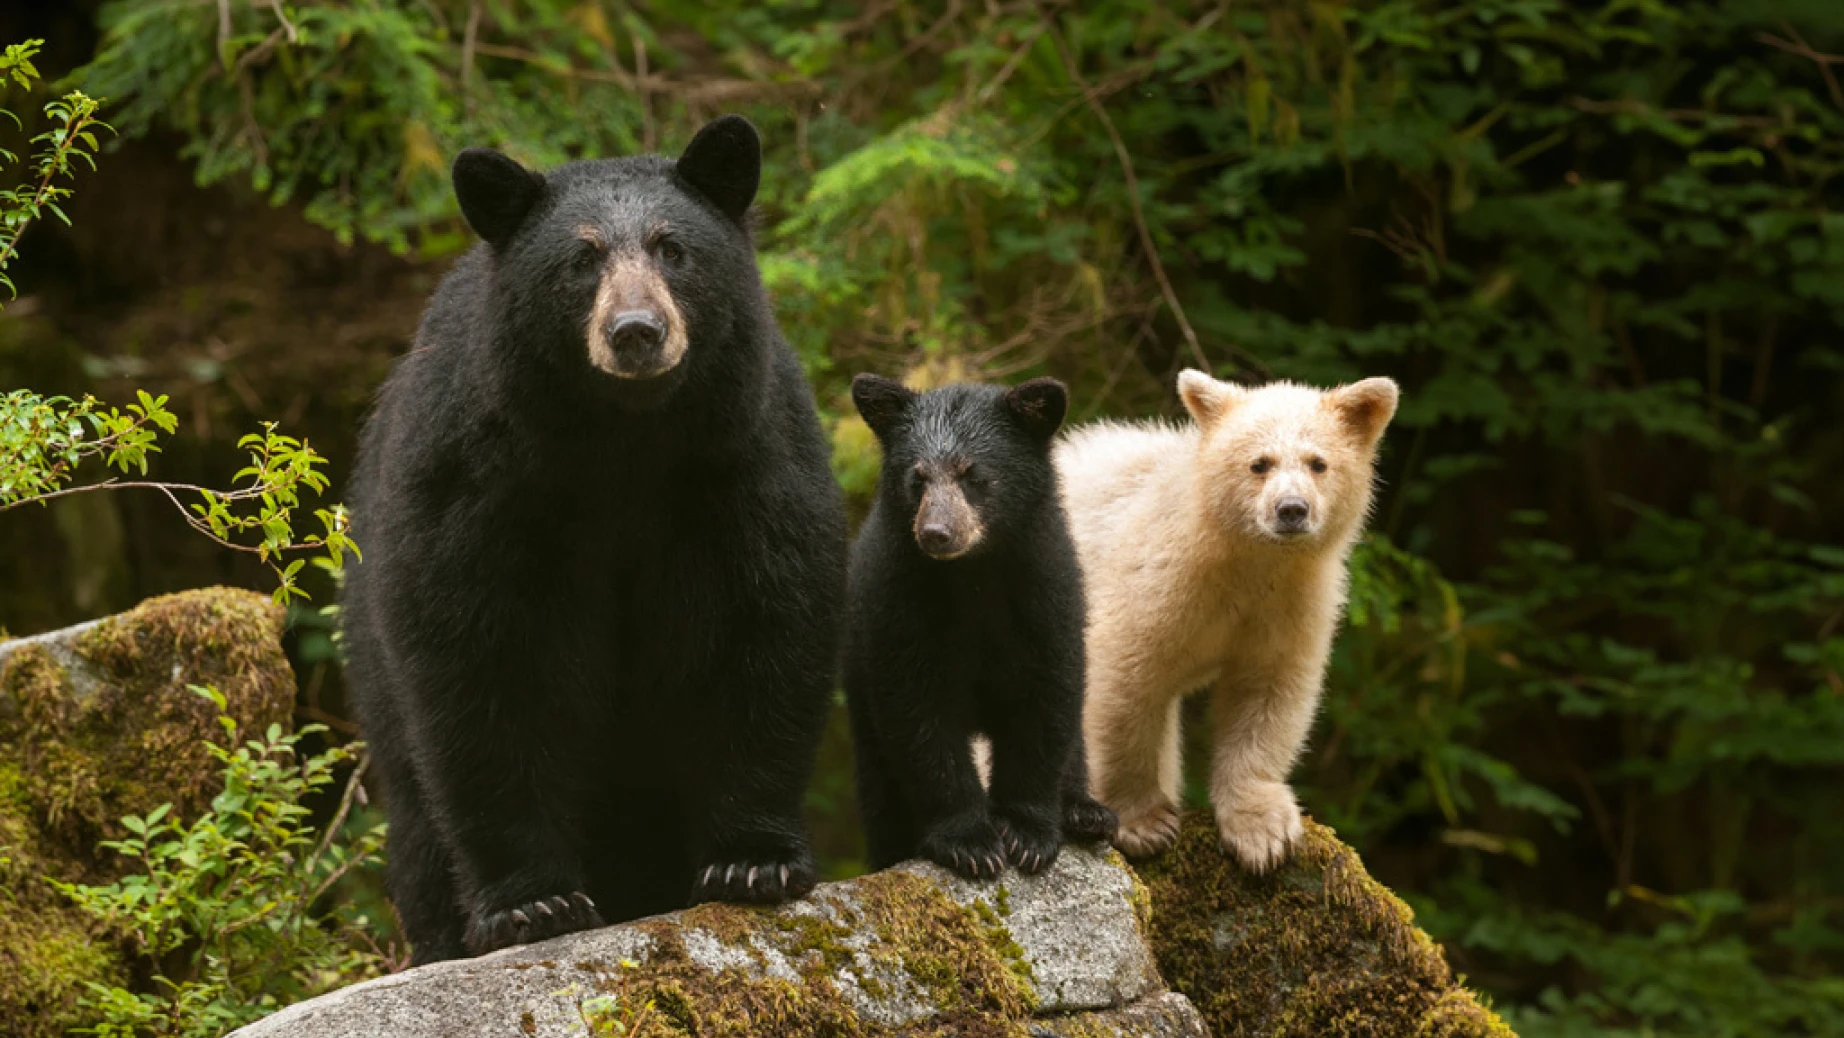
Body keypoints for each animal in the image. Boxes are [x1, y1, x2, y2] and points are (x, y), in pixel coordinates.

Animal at [340, 116, 847, 964]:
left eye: (673, 247)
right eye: (581, 259)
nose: (637, 332)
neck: (623, 444)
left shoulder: (745, 462)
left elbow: (764, 630)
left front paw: (753, 863)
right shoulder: (479, 485)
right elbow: (483, 666)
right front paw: (531, 904)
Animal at [843, 374, 1117, 881]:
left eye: (974, 475)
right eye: (917, 477)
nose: (936, 533)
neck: (973, 577)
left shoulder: (1047, 596)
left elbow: (1045, 705)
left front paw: (1028, 833)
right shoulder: (900, 606)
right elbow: (919, 717)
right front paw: (970, 842)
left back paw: (1086, 813)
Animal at [1055, 369, 1398, 871]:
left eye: (1318, 463)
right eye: (1260, 464)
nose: (1291, 509)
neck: (1242, 558)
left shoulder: (1289, 602)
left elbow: (1267, 692)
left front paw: (1264, 833)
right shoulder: (1156, 580)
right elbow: (1125, 681)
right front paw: (1143, 823)